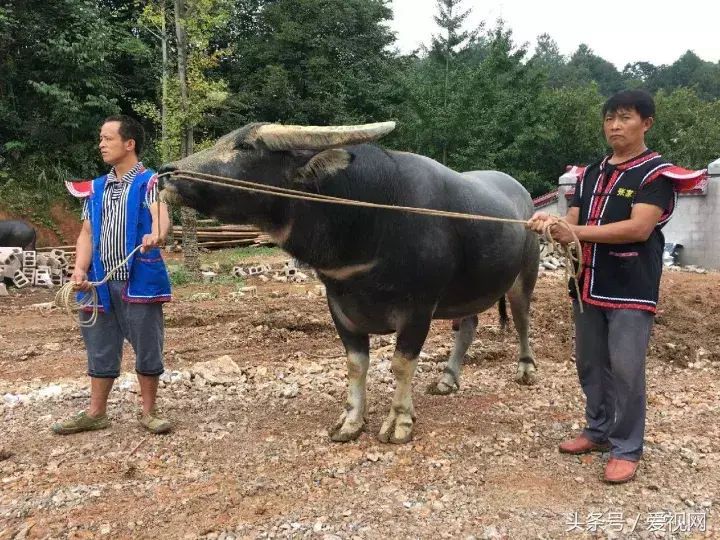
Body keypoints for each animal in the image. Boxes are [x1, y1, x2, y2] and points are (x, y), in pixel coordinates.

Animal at [160, 122, 536, 442]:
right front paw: (352, 421)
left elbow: (401, 364)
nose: (166, 173)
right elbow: (356, 364)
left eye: (246, 146)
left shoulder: (419, 308)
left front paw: (399, 422)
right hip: (469, 291)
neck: (372, 214)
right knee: (468, 327)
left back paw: (526, 370)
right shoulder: (338, 303)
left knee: (521, 321)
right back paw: (447, 379)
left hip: (524, 276)